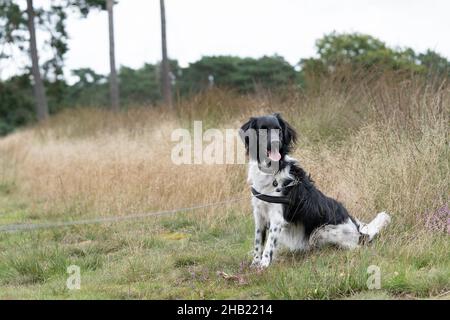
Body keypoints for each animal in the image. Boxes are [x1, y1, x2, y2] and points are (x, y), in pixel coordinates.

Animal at [239, 114, 390, 268]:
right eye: (262, 130)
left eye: (279, 130)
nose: (276, 142)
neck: (271, 171)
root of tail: (358, 231)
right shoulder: (259, 214)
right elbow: (258, 242)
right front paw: (254, 265)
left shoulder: (277, 217)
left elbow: (269, 245)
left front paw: (263, 266)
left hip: (323, 231)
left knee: (354, 247)